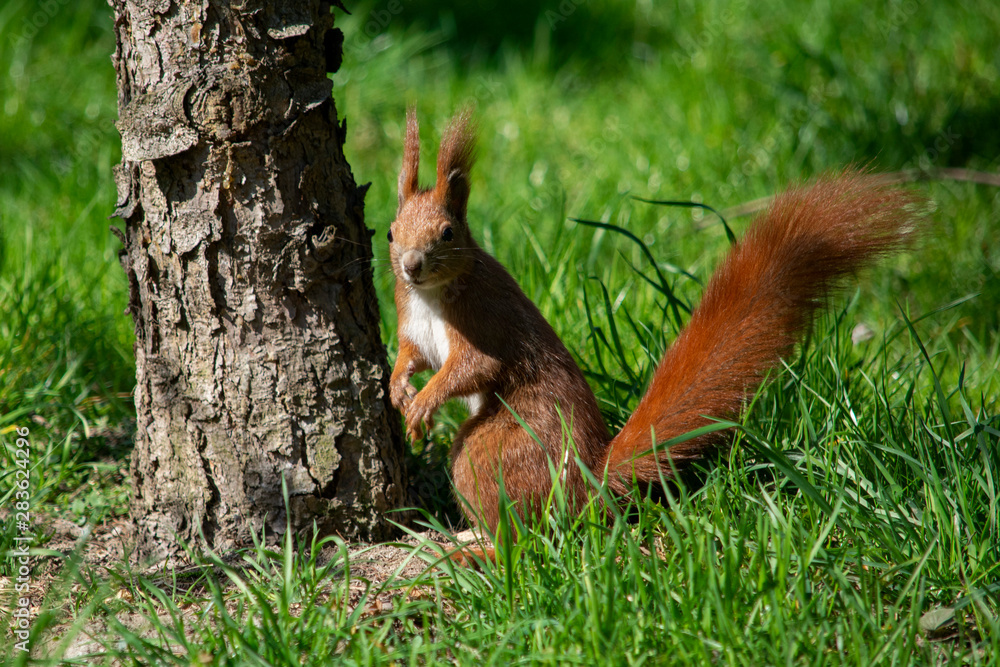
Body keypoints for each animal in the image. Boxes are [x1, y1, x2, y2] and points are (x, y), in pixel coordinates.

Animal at [386, 111, 916, 536]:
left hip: (491, 452)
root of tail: (589, 484)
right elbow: (412, 352)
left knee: (521, 532)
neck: (431, 295)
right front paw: (397, 386)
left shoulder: (484, 319)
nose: (411, 265)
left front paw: (425, 401)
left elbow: (474, 367)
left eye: (447, 233)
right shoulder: (410, 318)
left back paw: (473, 545)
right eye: (390, 233)